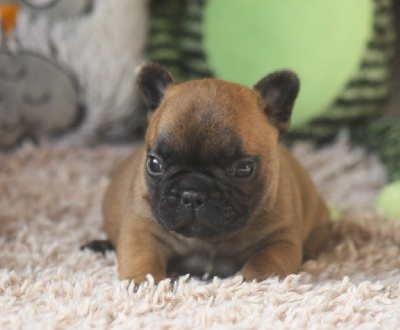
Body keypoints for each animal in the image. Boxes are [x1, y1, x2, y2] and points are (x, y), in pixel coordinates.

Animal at [94, 62, 332, 284]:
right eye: (154, 164)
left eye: (243, 169)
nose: (192, 194)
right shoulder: (142, 230)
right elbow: (142, 258)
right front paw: (143, 282)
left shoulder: (280, 240)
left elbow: (265, 261)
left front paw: (255, 281)